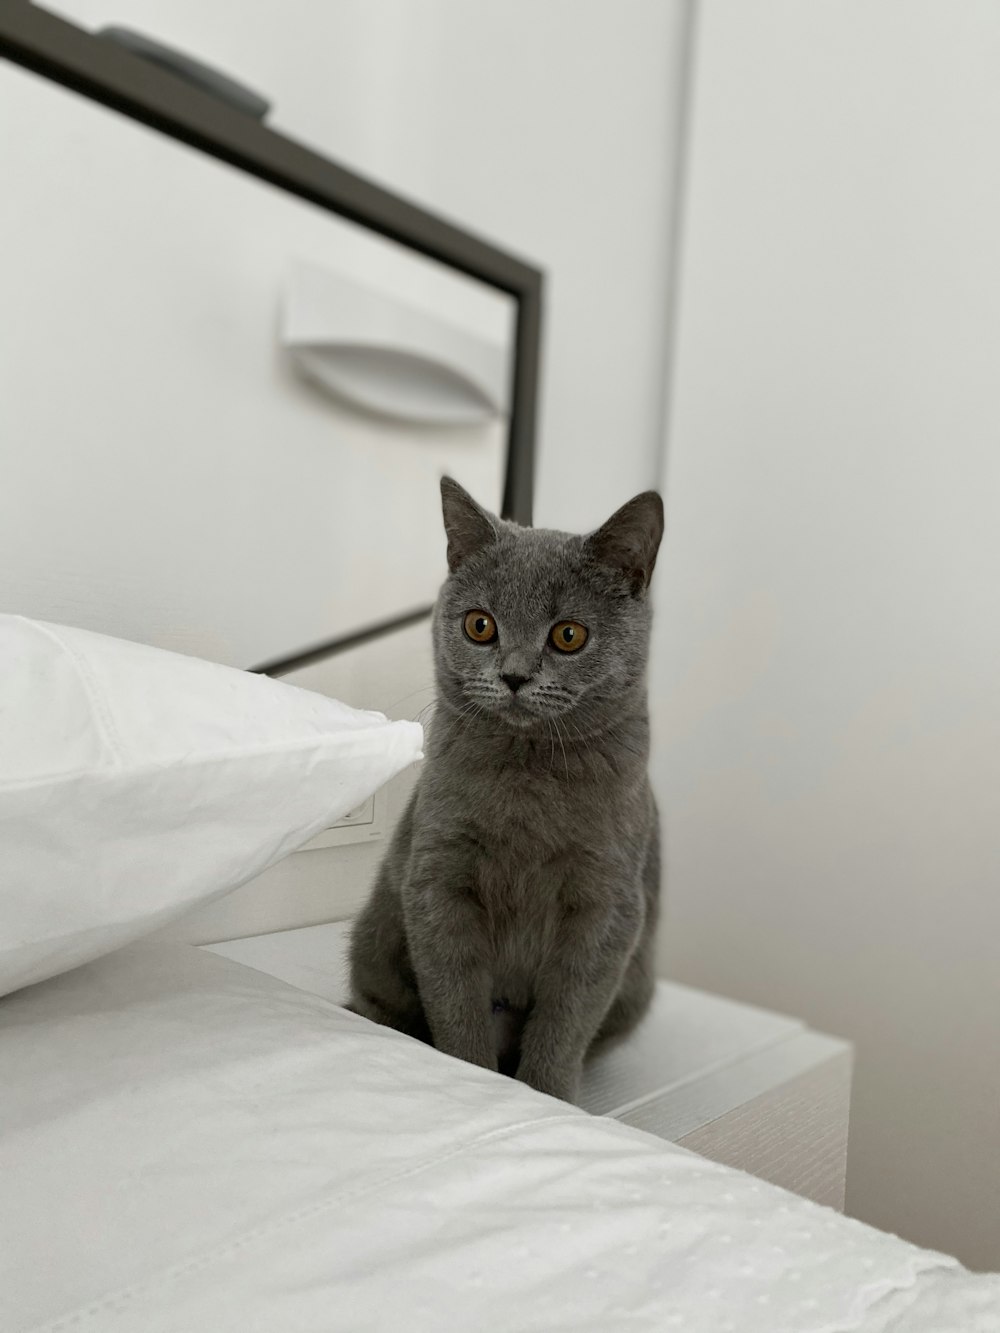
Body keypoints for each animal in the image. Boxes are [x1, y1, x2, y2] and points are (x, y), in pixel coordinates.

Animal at [349, 474, 669, 1098]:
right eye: (480, 625)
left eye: (569, 635)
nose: (515, 675)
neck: (528, 779)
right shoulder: (438, 878)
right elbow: (456, 999)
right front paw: (477, 1079)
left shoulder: (607, 902)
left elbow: (567, 1016)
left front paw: (546, 1094)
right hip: (376, 938)